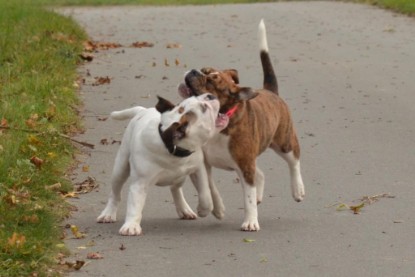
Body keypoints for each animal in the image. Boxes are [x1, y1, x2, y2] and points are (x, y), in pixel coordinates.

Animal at [96, 94, 231, 234]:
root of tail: (142, 110)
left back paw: (184, 209)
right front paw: (131, 225)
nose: (210, 95)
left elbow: (205, 194)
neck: (174, 149)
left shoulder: (198, 169)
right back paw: (108, 214)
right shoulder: (140, 183)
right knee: (115, 193)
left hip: (180, 176)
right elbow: (135, 204)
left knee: (175, 188)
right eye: (204, 108)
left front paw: (204, 209)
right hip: (120, 168)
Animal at [177, 20, 304, 231]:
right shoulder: (206, 162)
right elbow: (210, 188)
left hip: (283, 142)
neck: (216, 122)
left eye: (211, 82)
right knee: (260, 175)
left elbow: (248, 198)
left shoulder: (245, 164)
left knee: (293, 162)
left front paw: (251, 221)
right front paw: (215, 208)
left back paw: (298, 189)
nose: (194, 71)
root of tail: (271, 91)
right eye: (203, 70)